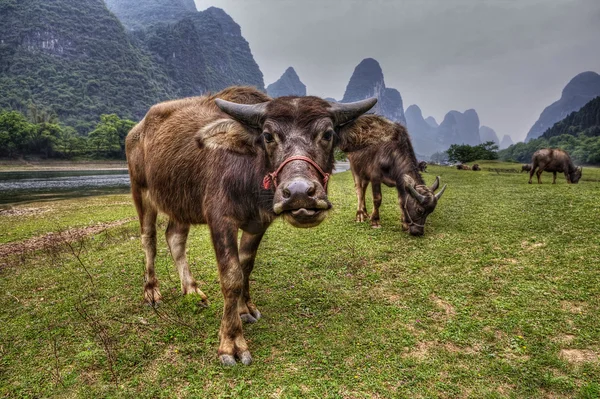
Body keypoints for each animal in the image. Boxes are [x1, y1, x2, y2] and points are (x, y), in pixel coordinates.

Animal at [125, 86, 376, 366]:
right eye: (267, 136)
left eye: (328, 134)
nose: (300, 194)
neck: (249, 176)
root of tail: (136, 131)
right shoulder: (220, 219)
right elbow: (231, 276)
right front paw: (231, 343)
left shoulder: (258, 222)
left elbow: (246, 266)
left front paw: (244, 309)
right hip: (141, 190)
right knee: (149, 239)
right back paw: (151, 292)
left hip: (180, 201)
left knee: (175, 237)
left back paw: (191, 290)